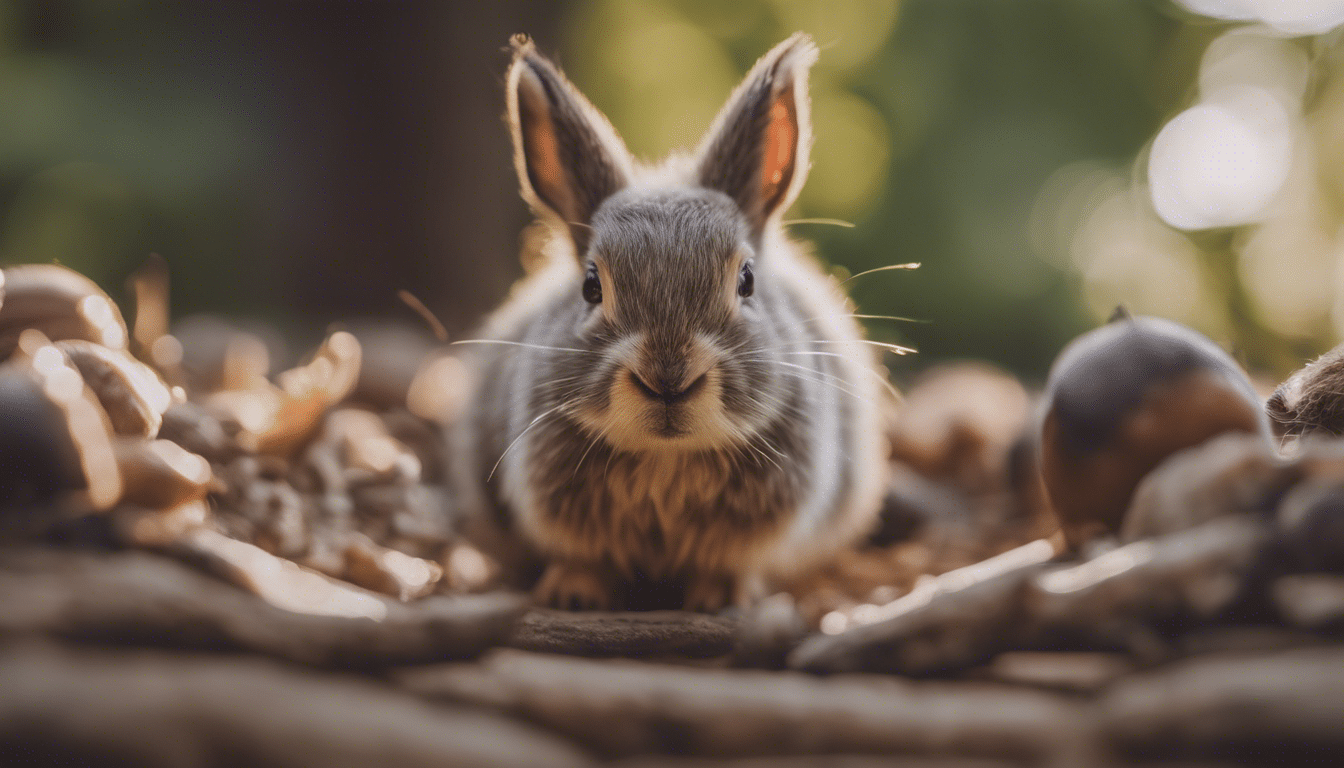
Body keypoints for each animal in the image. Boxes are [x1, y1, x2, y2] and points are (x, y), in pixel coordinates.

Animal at [448, 33, 892, 613]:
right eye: (591, 286)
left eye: (747, 280)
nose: (667, 379)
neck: (667, 457)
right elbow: (585, 559)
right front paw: (573, 593)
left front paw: (720, 598)